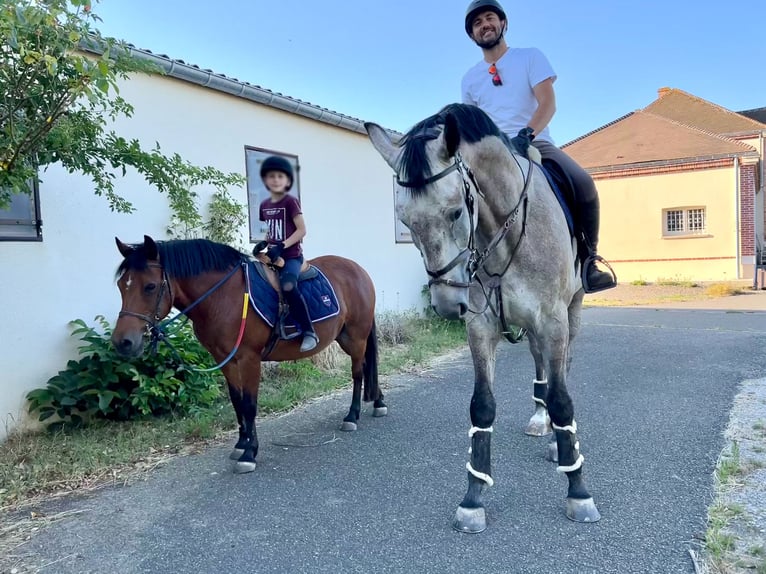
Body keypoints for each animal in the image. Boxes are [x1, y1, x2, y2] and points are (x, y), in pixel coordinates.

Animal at [366, 104, 600, 536]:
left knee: (563, 369)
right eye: (405, 221)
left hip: (571, 312)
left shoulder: (554, 320)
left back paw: (556, 441)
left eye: (456, 210)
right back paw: (540, 420)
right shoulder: (481, 327)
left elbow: (563, 400)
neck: (505, 235)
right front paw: (473, 498)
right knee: (540, 365)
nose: (446, 305)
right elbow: (482, 407)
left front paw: (578, 491)